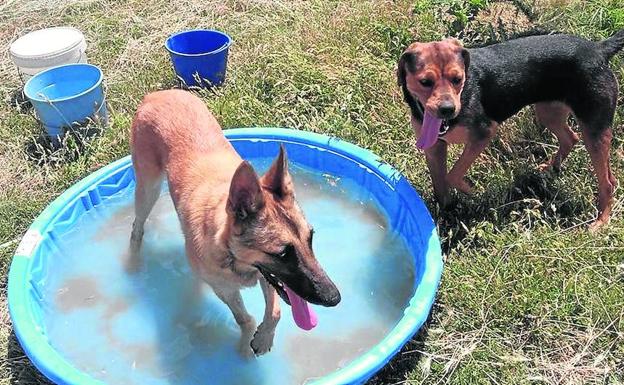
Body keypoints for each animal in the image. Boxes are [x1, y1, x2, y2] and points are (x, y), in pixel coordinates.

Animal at [128, 90, 342, 356]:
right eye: (282, 254)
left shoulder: (267, 277)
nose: (334, 298)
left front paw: (264, 338)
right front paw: (247, 343)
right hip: (148, 188)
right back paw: (134, 262)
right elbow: (244, 319)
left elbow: (276, 311)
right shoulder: (225, 288)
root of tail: (155, 95)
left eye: (310, 239)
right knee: (137, 227)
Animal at [400, 30, 624, 230]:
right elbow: (440, 186)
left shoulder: (484, 133)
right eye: (425, 82)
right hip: (548, 112)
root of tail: (599, 49)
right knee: (571, 139)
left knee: (608, 182)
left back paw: (601, 221)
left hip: (594, 128)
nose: (447, 109)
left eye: (457, 79)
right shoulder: (434, 148)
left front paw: (473, 191)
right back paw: (549, 169)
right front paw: (444, 216)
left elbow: (452, 175)